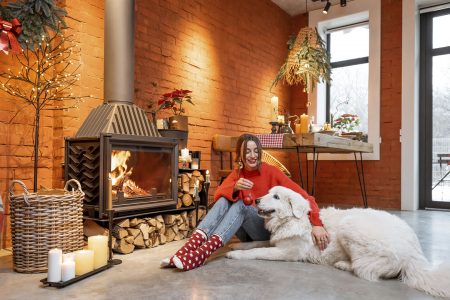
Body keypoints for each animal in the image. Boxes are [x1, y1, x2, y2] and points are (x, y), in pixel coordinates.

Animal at [227, 185, 450, 298]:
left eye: (275, 197)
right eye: (267, 193)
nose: (256, 200)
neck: (293, 220)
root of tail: (414, 252)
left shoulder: (287, 252)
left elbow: (257, 251)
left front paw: (235, 254)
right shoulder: (276, 243)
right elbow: (256, 244)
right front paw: (236, 245)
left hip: (350, 226)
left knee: (365, 269)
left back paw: (343, 264)